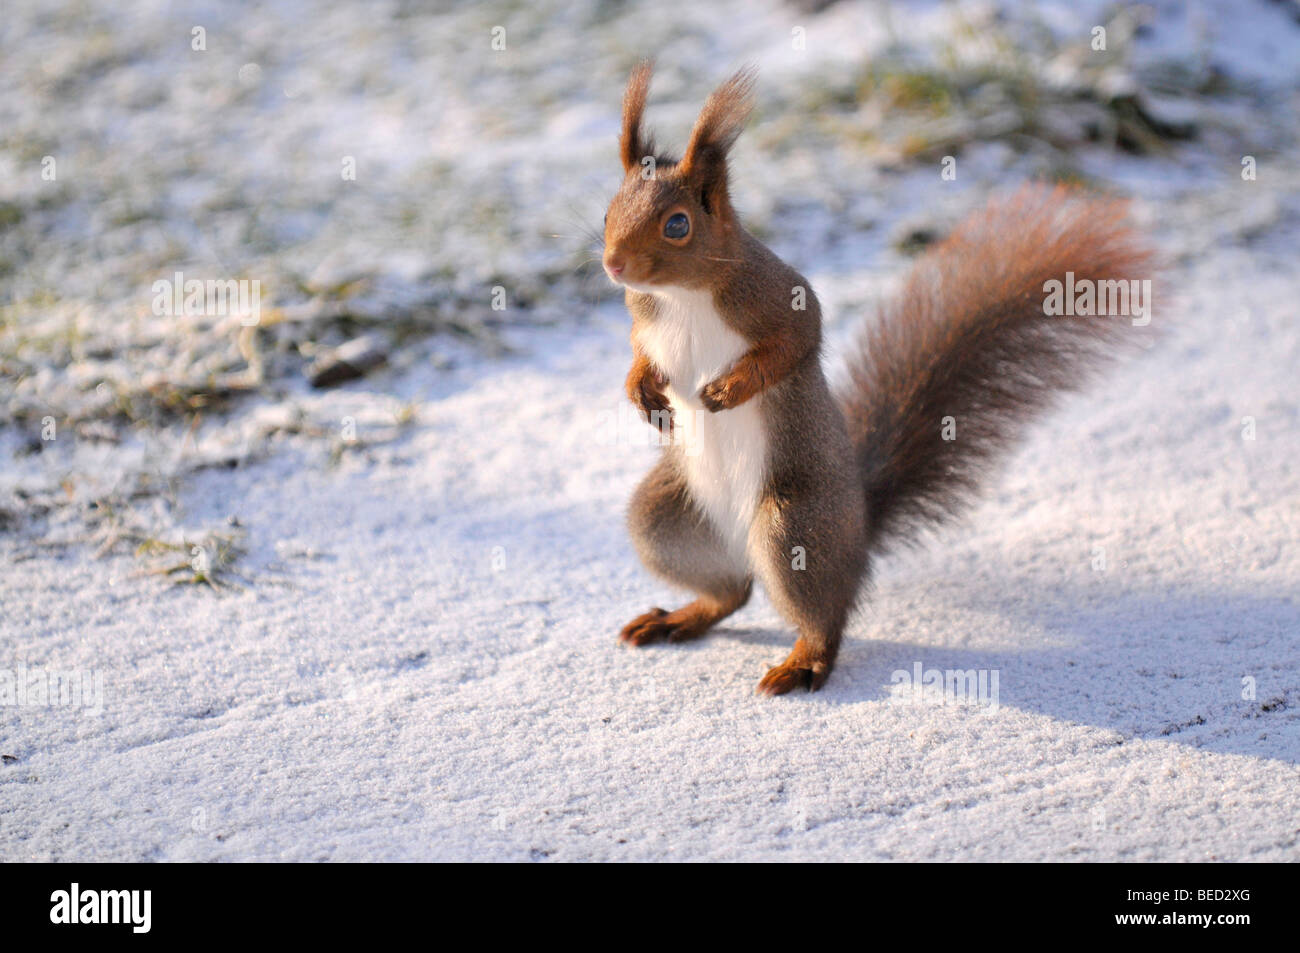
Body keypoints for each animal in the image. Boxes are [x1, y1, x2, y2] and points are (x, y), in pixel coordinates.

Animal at [598, 65, 1149, 691]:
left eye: (678, 225)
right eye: (609, 210)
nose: (613, 264)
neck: (681, 296)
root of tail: (859, 534)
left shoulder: (779, 296)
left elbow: (796, 341)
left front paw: (729, 389)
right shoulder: (645, 319)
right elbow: (641, 354)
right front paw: (641, 391)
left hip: (794, 526)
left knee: (825, 618)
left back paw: (802, 661)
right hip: (667, 520)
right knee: (733, 592)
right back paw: (680, 617)